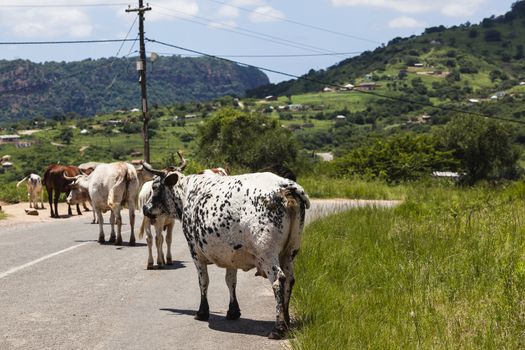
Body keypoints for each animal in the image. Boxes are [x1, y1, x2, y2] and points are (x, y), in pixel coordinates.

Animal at [141, 164, 310, 340]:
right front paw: (233, 311)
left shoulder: (195, 252)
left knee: (278, 280)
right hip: (289, 252)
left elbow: (203, 281)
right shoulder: (231, 255)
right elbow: (230, 281)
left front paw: (202, 312)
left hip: (267, 254)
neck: (187, 192)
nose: (145, 208)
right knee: (290, 279)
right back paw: (287, 321)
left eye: (154, 187)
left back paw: (278, 328)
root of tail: (284, 186)